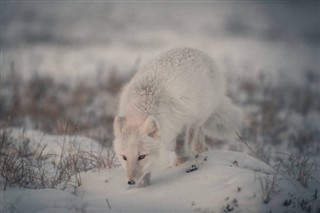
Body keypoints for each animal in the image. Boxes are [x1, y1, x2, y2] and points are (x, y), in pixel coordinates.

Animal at [112, 47, 242, 187]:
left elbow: (180, 146)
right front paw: (143, 185)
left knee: (196, 133)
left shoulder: (182, 122)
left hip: (197, 117)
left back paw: (198, 151)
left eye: (141, 156)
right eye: (124, 157)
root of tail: (195, 49)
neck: (143, 106)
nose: (131, 181)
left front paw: (182, 161)